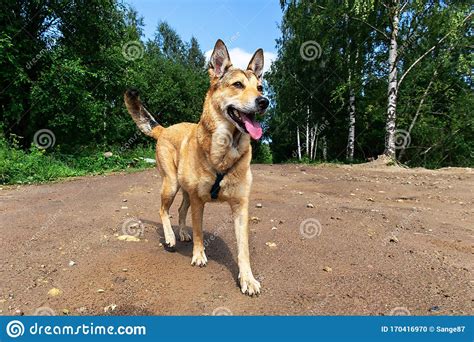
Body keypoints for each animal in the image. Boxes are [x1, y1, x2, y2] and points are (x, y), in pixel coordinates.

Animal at [124, 38, 268, 296]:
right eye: (238, 85)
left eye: (260, 87)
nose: (264, 102)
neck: (224, 150)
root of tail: (164, 129)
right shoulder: (199, 202)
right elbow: (199, 231)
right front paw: (199, 256)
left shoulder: (240, 207)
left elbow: (243, 249)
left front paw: (247, 279)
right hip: (171, 185)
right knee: (163, 210)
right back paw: (170, 237)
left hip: (185, 192)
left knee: (181, 211)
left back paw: (181, 233)